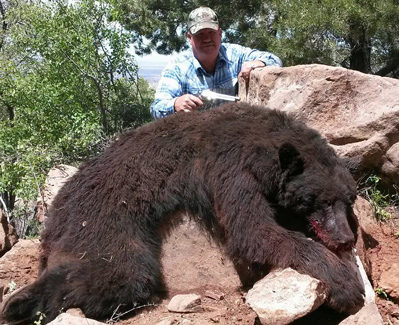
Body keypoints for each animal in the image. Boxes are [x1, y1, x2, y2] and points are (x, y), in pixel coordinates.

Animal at [0, 102, 366, 322]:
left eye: (348, 200)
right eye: (322, 201)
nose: (346, 238)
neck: (263, 144)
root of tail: (53, 215)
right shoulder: (230, 167)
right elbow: (254, 232)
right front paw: (346, 283)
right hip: (103, 222)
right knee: (119, 274)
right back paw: (20, 303)